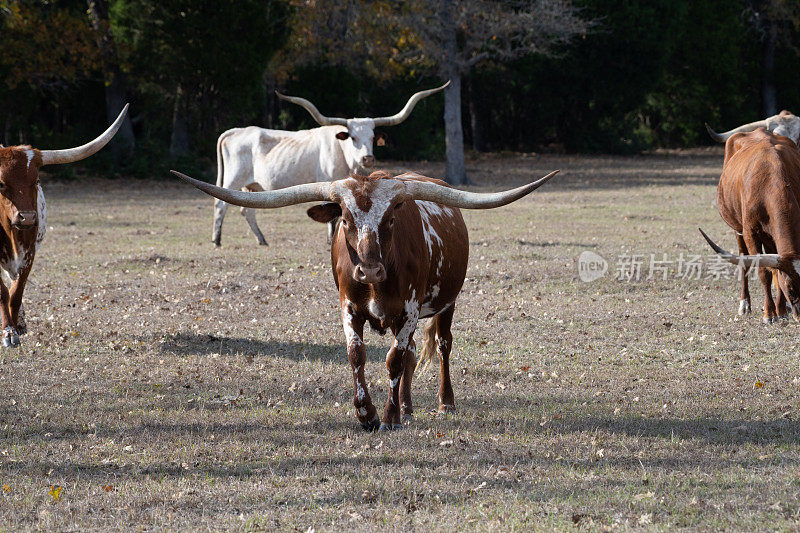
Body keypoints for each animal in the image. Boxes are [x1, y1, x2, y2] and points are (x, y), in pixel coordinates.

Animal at [0, 104, 127, 348]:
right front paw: (8, 332)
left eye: (36, 181)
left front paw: (17, 327)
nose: (27, 218)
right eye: (0, 184)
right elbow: (3, 293)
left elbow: (16, 292)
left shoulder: (29, 254)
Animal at [170, 166, 556, 428]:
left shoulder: (410, 310)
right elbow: (358, 354)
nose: (369, 270)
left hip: (447, 303)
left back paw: (443, 404)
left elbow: (394, 360)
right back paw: (408, 409)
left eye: (391, 219)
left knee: (442, 345)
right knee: (413, 354)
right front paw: (367, 413)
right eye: (345, 219)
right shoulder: (348, 307)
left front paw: (387, 416)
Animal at [212, 82, 450, 247]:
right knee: (221, 205)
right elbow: (332, 215)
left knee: (247, 210)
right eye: (353, 137)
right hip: (233, 179)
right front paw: (331, 239)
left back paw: (261, 239)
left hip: (252, 185)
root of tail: (236, 131)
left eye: (373, 137)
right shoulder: (328, 181)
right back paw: (217, 240)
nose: (368, 158)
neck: (343, 154)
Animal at [696, 127, 800, 322]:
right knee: (744, 260)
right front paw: (769, 314)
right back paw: (745, 305)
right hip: (738, 229)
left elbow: (774, 270)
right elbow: (763, 272)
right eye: (790, 287)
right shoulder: (750, 232)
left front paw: (781, 310)